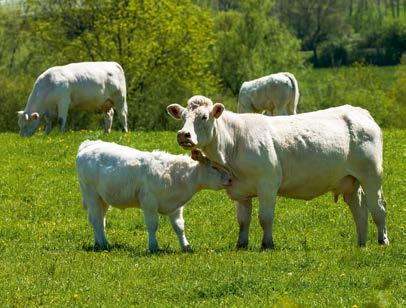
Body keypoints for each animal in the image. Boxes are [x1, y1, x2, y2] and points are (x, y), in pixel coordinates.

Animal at [76, 140, 232, 253]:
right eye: (214, 167)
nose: (231, 179)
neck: (175, 175)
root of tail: (89, 145)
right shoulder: (149, 204)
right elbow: (152, 225)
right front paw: (153, 246)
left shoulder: (176, 207)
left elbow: (179, 226)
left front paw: (186, 246)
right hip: (91, 195)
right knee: (96, 219)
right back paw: (103, 244)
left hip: (103, 199)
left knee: (100, 219)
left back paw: (100, 241)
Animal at [167, 95, 388, 249]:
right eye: (183, 117)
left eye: (204, 117)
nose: (183, 135)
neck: (232, 144)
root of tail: (358, 111)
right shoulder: (240, 190)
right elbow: (243, 220)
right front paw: (241, 244)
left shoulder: (268, 183)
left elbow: (265, 217)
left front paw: (267, 244)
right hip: (351, 181)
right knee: (359, 210)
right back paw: (361, 242)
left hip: (371, 175)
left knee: (378, 207)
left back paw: (382, 240)